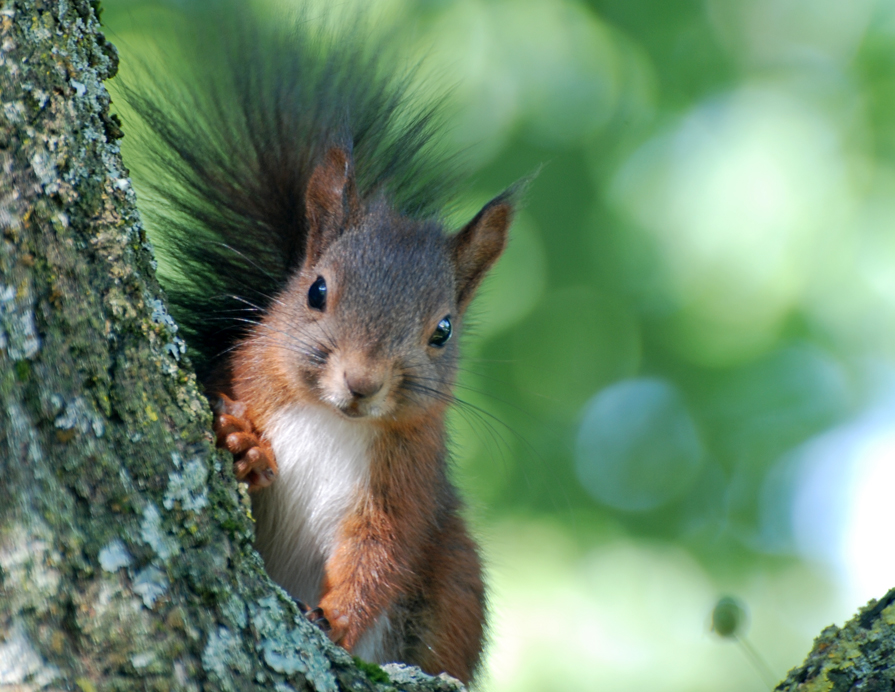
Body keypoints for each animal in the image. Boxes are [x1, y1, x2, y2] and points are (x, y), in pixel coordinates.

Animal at [125, 6, 520, 688]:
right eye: (316, 290)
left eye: (442, 330)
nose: (361, 383)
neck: (329, 419)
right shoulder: (240, 375)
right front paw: (240, 442)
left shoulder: (405, 484)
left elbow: (378, 556)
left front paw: (336, 618)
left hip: (455, 575)